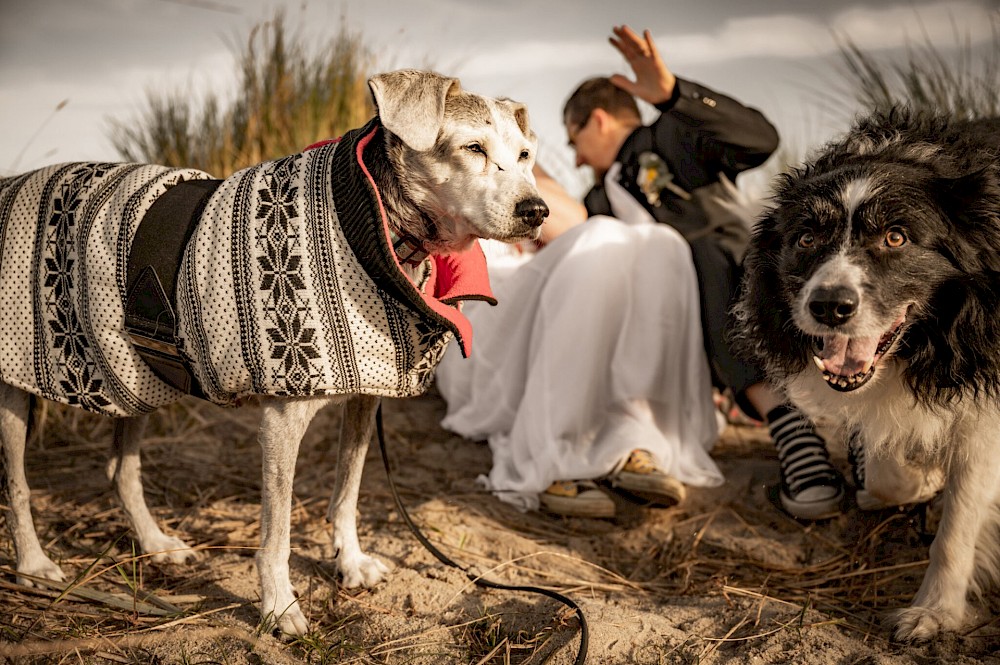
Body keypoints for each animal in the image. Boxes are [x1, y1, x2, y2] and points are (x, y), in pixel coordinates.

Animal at [0, 68, 548, 632]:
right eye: (473, 147)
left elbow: (347, 493)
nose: (537, 211)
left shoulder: (363, 399)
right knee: (16, 486)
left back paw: (156, 545)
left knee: (121, 471)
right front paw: (280, 606)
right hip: (18, 380)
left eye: (526, 154)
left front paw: (349, 562)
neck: (378, 232)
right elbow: (277, 532)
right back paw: (34, 564)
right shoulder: (283, 419)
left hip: (135, 377)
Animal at [732, 106, 1000, 640]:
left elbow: (961, 517)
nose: (829, 307)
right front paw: (920, 481)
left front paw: (933, 613)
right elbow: (883, 467)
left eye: (896, 237)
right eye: (806, 238)